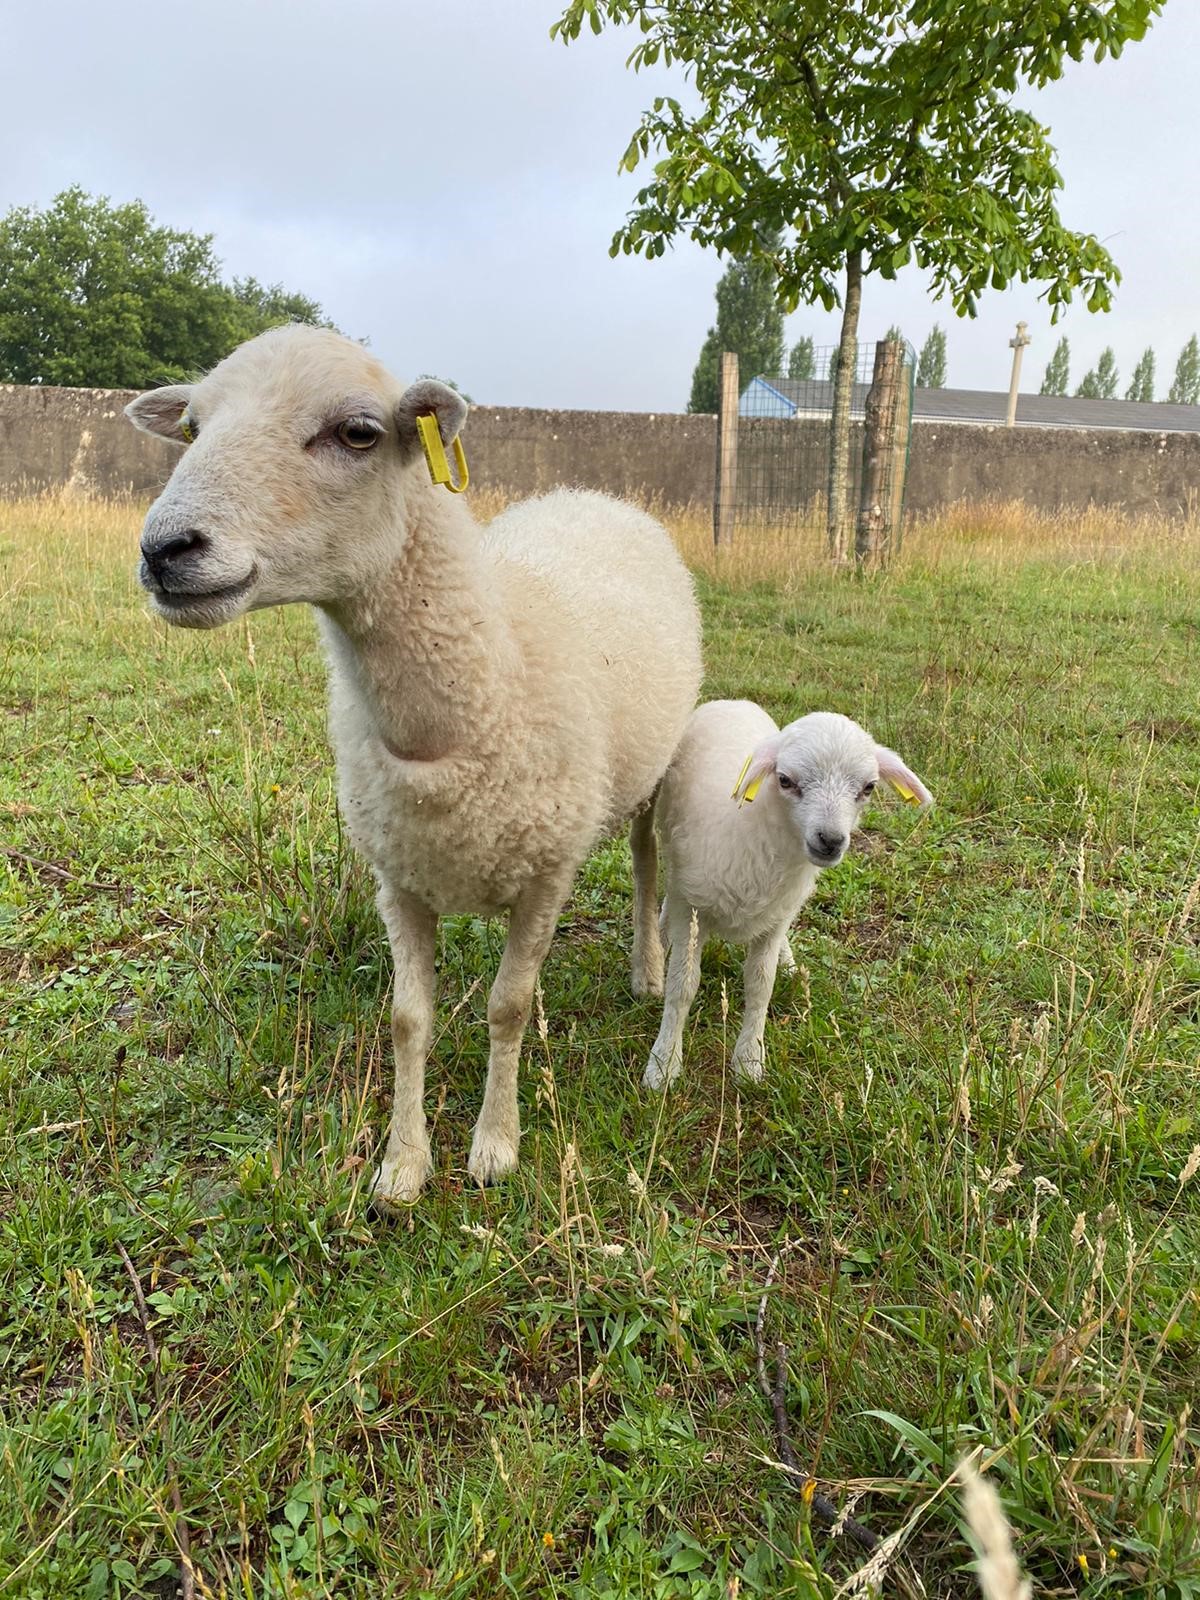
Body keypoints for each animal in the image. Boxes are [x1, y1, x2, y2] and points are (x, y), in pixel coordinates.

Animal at [125, 324, 702, 1204]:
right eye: (191, 427)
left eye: (359, 432)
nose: (165, 550)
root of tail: (592, 494)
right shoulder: (396, 877)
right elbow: (407, 1020)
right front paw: (403, 1163)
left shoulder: (546, 873)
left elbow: (508, 1007)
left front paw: (495, 1145)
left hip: (651, 769)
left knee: (643, 861)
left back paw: (647, 967)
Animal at [642, 700, 932, 1090]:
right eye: (785, 780)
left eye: (869, 787)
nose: (830, 840)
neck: (749, 826)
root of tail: (734, 701)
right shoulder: (692, 909)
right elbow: (683, 985)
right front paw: (664, 1063)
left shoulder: (776, 918)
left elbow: (761, 986)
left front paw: (750, 1060)